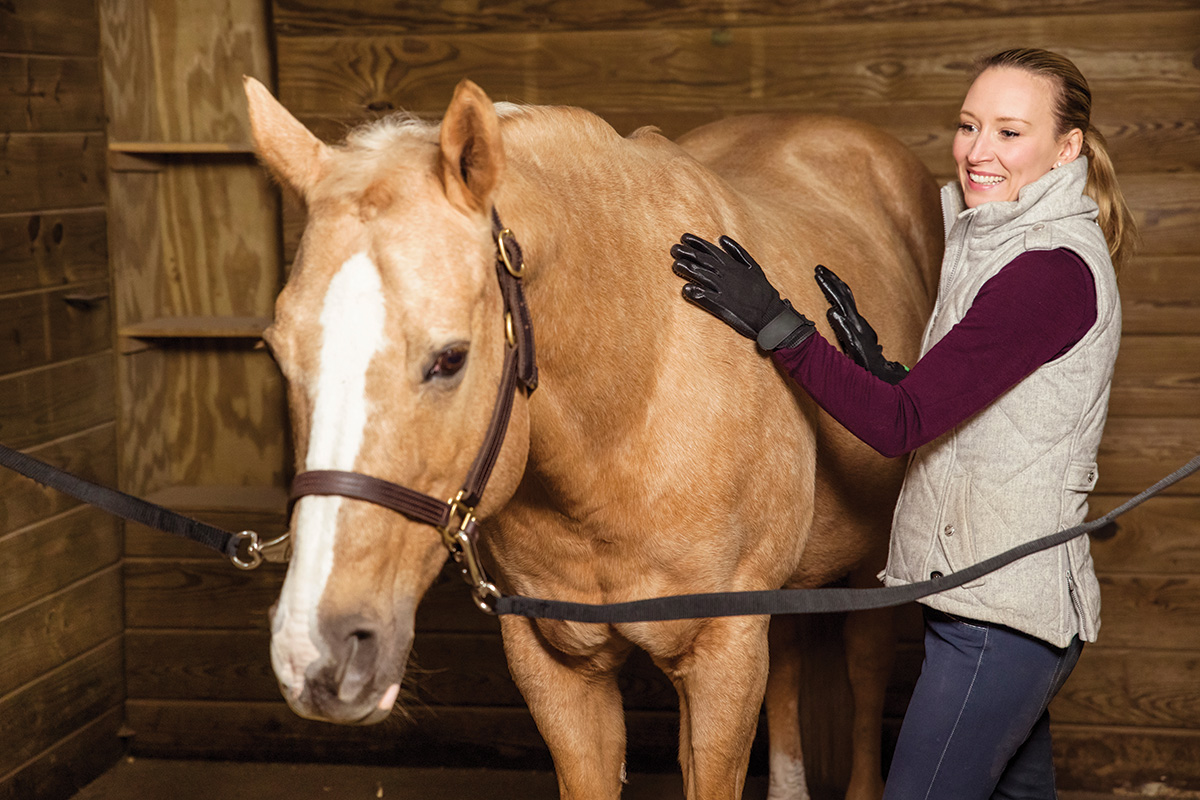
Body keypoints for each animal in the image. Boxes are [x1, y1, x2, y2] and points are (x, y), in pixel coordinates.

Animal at [243, 76, 940, 800]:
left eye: (450, 359)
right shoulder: (554, 665)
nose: (316, 653)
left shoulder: (724, 655)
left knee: (865, 672)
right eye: (276, 354)